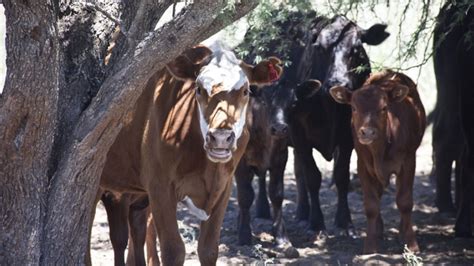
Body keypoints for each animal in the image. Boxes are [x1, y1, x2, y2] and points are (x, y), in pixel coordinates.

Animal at [97, 44, 282, 266]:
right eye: (199, 89)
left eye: (246, 91)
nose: (220, 138)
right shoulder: (160, 187)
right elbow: (173, 250)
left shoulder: (224, 187)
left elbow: (208, 249)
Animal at [330, 70, 426, 254]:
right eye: (354, 108)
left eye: (383, 108)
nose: (367, 132)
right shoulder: (363, 165)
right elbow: (371, 205)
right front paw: (370, 244)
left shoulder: (409, 161)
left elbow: (405, 201)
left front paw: (411, 243)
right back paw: (379, 230)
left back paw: (401, 232)